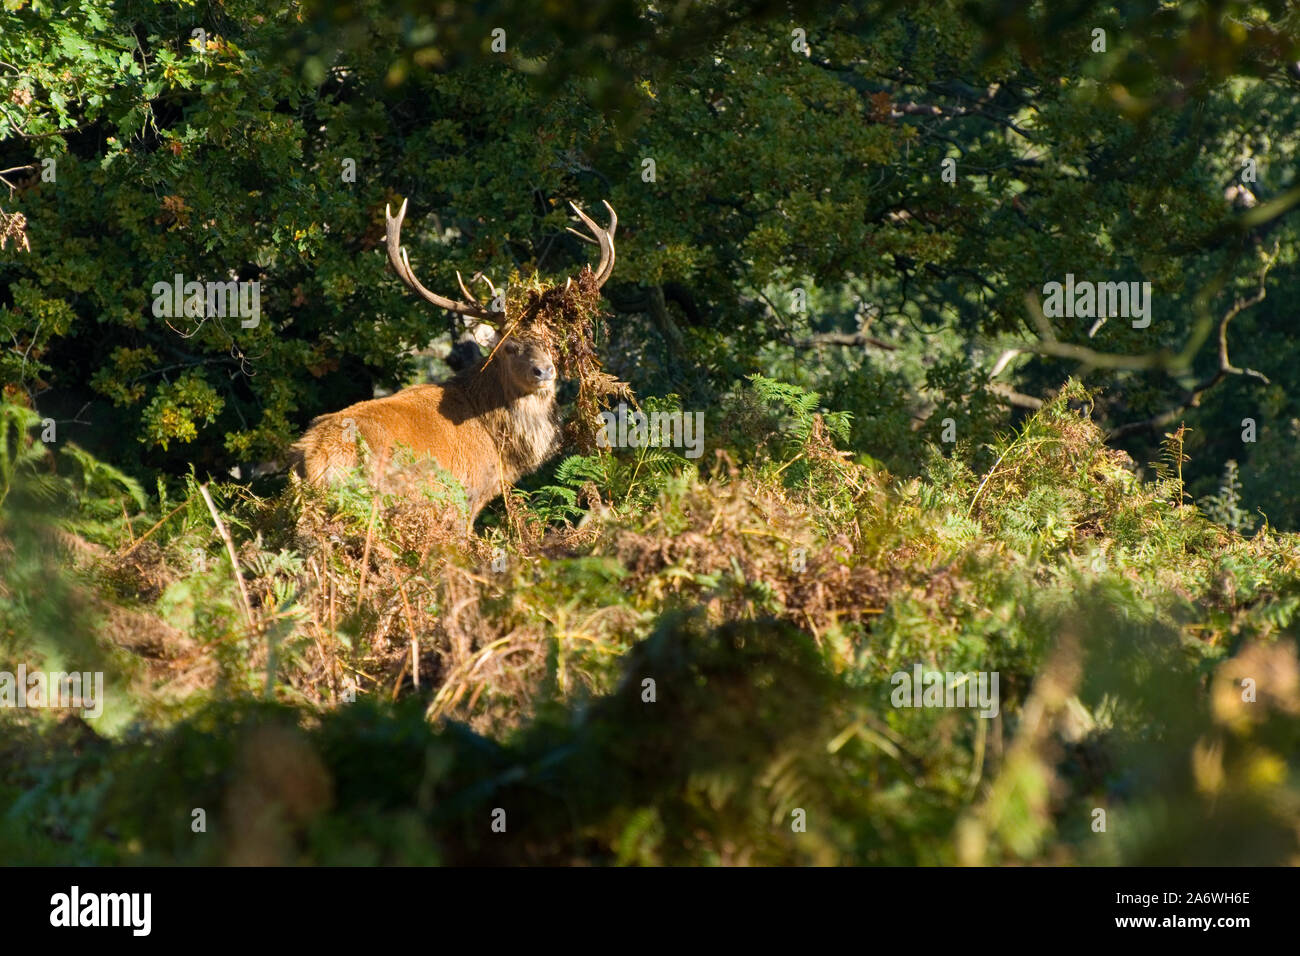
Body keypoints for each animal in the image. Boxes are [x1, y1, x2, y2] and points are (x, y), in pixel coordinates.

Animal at [291, 195, 617, 527]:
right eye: (509, 346)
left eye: (551, 342)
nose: (544, 371)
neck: (498, 446)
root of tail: (314, 459)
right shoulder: (465, 498)